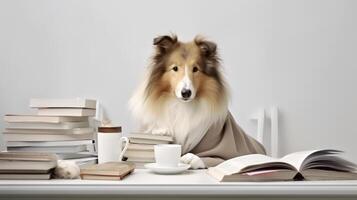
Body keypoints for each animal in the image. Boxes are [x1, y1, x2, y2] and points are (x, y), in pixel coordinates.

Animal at [129, 34, 264, 169]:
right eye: (175, 68)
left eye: (195, 69)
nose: (186, 93)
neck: (182, 106)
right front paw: (160, 131)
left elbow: (215, 157)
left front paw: (190, 158)